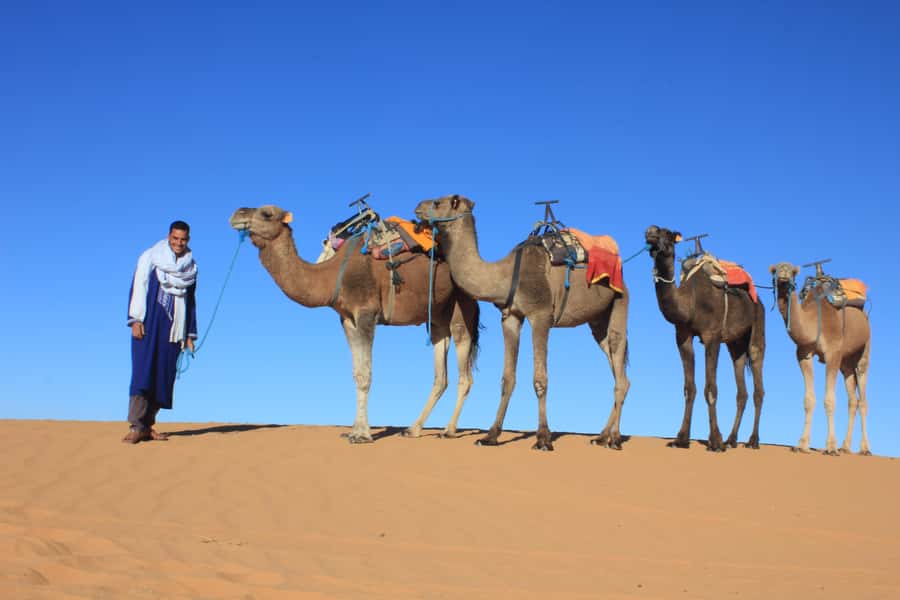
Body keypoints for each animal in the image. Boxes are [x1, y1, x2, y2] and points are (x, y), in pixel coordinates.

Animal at [229, 204, 480, 443]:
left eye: (267, 213)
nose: (237, 214)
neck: (332, 276)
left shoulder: (367, 313)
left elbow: (366, 374)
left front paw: (362, 435)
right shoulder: (348, 319)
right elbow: (357, 373)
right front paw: (353, 431)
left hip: (461, 304)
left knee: (464, 368)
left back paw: (448, 430)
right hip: (436, 317)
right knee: (441, 373)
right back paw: (413, 429)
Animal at [415, 195, 630, 452]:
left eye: (439, 202)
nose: (417, 209)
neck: (505, 276)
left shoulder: (540, 315)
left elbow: (540, 379)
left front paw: (543, 438)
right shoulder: (511, 317)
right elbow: (507, 379)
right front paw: (490, 436)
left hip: (620, 300)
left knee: (619, 362)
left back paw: (614, 438)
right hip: (597, 320)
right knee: (616, 365)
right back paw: (601, 436)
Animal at [644, 226, 766, 452]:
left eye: (667, 233)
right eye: (652, 231)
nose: (651, 232)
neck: (690, 303)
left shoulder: (712, 338)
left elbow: (711, 388)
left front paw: (715, 441)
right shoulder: (683, 337)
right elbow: (689, 388)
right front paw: (681, 439)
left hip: (757, 328)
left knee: (757, 383)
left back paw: (752, 441)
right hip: (735, 345)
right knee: (741, 388)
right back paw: (732, 439)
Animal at [770, 262, 871, 455]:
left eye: (793, 271)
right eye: (774, 269)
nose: (784, 271)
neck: (812, 320)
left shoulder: (832, 354)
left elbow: (829, 400)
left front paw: (830, 447)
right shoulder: (803, 355)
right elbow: (809, 400)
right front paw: (802, 445)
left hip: (864, 350)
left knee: (863, 398)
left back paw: (865, 449)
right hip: (846, 363)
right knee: (852, 400)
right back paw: (845, 447)